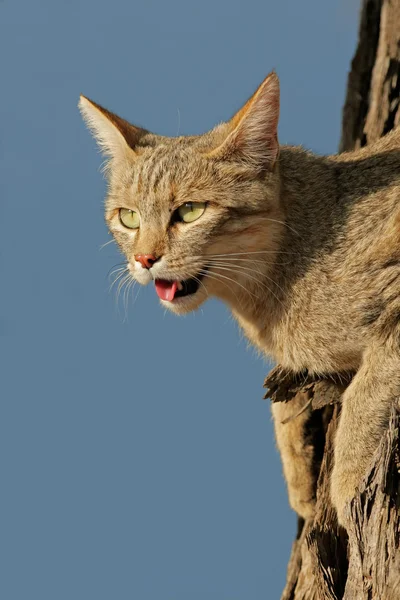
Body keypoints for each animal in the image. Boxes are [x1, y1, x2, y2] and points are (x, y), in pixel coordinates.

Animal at [79, 74, 400, 524]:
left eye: (190, 211)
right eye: (129, 218)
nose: (144, 259)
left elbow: (369, 388)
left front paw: (348, 481)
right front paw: (297, 464)